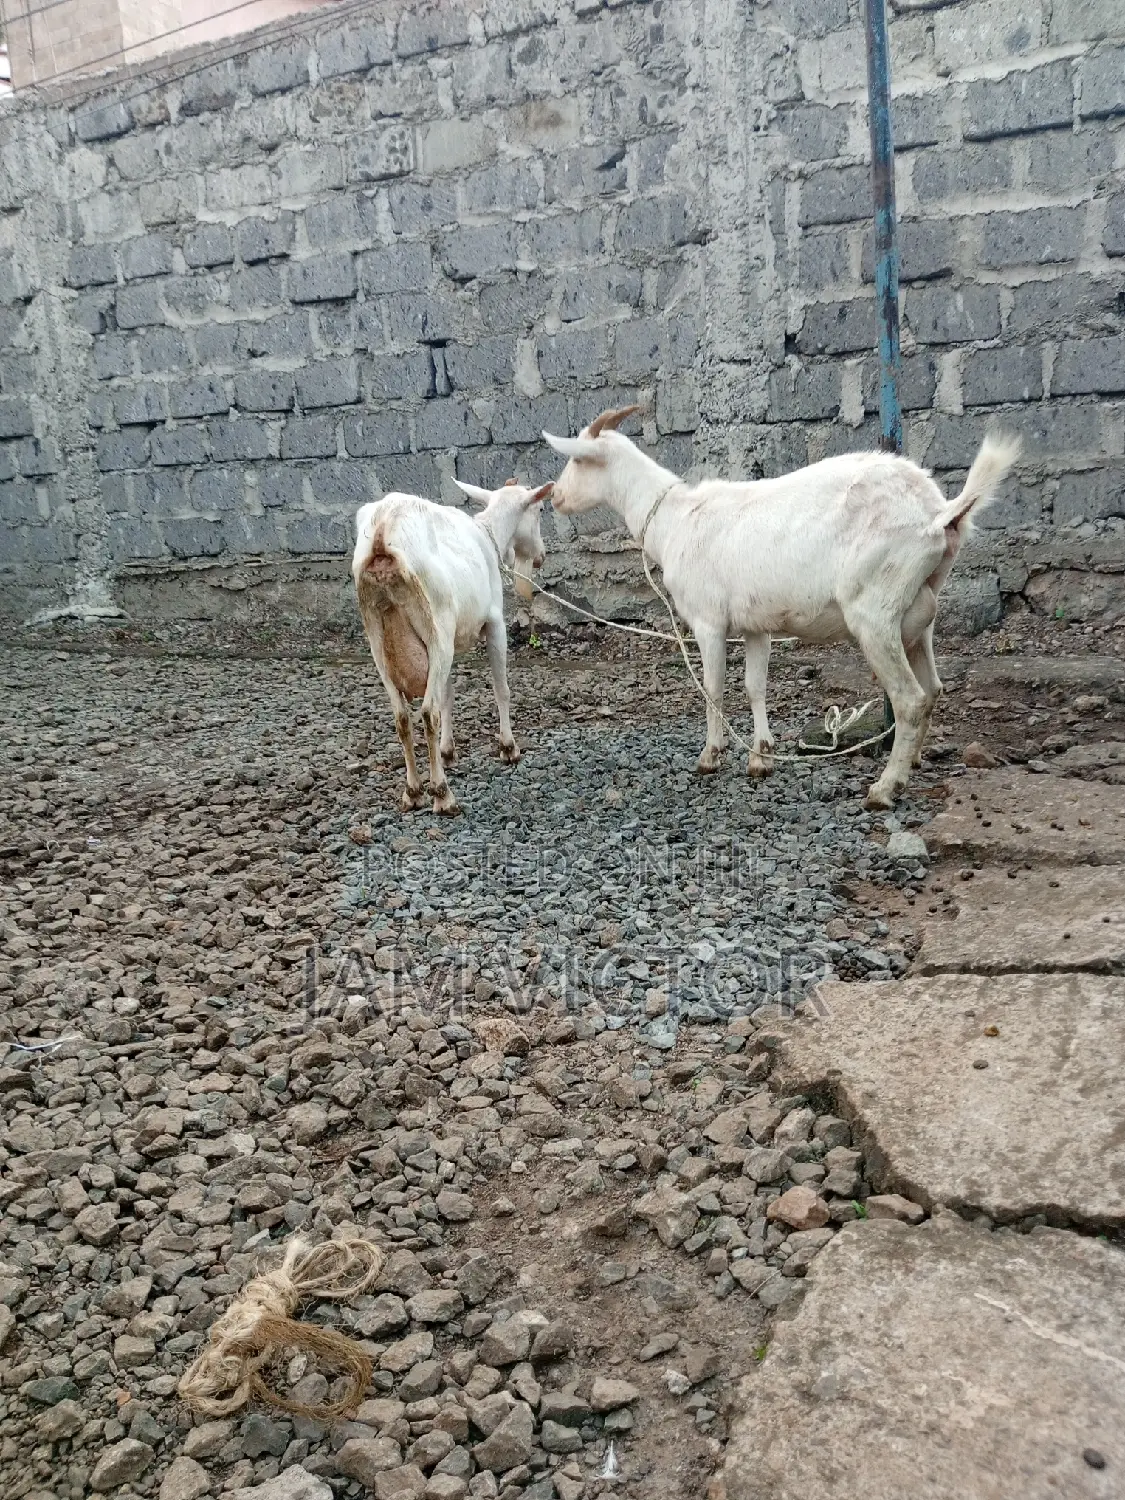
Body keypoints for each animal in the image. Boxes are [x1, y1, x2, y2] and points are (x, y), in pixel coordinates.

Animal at [353, 479, 551, 815]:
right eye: (538, 510)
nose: (541, 556)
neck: (489, 533)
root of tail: (382, 530)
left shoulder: (451, 640)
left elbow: (447, 695)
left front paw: (447, 752)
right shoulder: (494, 623)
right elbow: (501, 688)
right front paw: (508, 747)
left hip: (380, 640)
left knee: (402, 717)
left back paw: (413, 791)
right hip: (436, 627)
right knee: (427, 712)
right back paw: (443, 794)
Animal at [544, 406, 1019, 808]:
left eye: (577, 462)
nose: (555, 498)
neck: (675, 519)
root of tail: (939, 514)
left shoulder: (707, 620)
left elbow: (713, 687)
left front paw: (710, 756)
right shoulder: (758, 624)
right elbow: (756, 686)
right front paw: (761, 757)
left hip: (875, 611)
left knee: (910, 698)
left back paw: (884, 789)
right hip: (919, 613)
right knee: (934, 688)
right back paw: (912, 764)